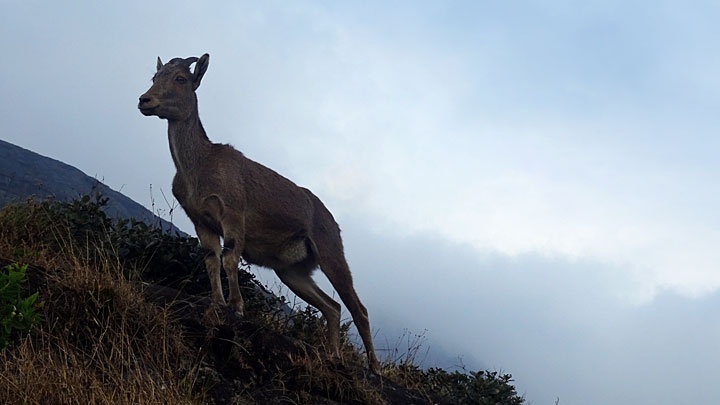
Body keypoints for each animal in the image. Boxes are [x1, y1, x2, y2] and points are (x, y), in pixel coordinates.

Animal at [137, 54, 380, 372]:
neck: (199, 168)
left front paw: (237, 307)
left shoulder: (233, 213)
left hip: (331, 252)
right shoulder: (201, 220)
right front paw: (217, 302)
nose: (145, 100)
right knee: (332, 306)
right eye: (155, 77)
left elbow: (229, 257)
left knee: (358, 307)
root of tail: (333, 222)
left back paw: (374, 367)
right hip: (291, 271)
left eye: (180, 78)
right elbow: (211, 259)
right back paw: (333, 356)